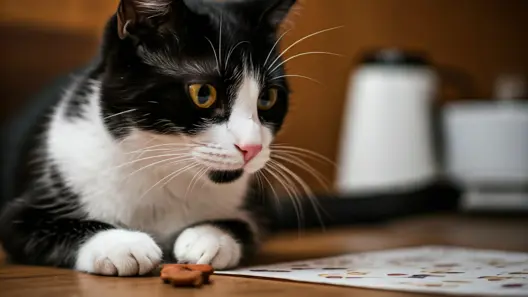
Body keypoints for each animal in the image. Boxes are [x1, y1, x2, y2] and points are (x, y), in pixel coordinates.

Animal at [0, 0, 296, 276]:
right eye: (203, 93)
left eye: (267, 98)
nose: (252, 147)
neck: (162, 171)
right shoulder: (24, 208)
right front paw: (119, 244)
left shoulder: (255, 207)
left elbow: (249, 225)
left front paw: (209, 237)